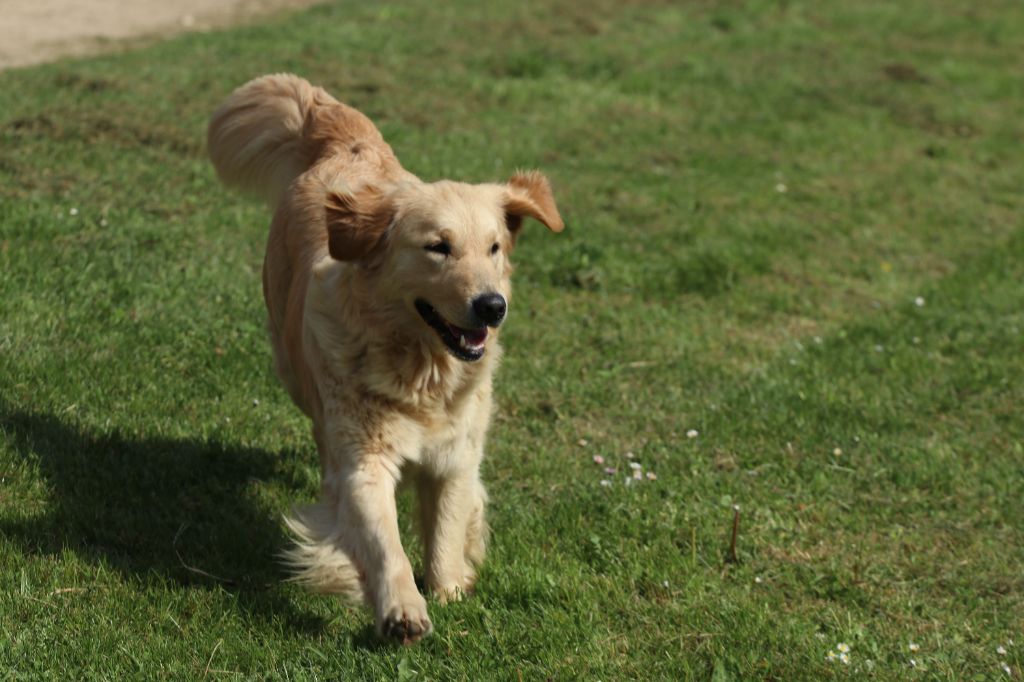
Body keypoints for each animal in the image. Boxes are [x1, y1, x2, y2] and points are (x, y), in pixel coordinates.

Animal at [204, 75, 565, 643]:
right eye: (438, 247)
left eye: (494, 248)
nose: (492, 306)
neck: (422, 371)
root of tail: (348, 142)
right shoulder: (365, 459)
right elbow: (383, 541)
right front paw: (402, 609)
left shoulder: (456, 456)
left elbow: (446, 527)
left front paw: (449, 589)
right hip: (294, 367)